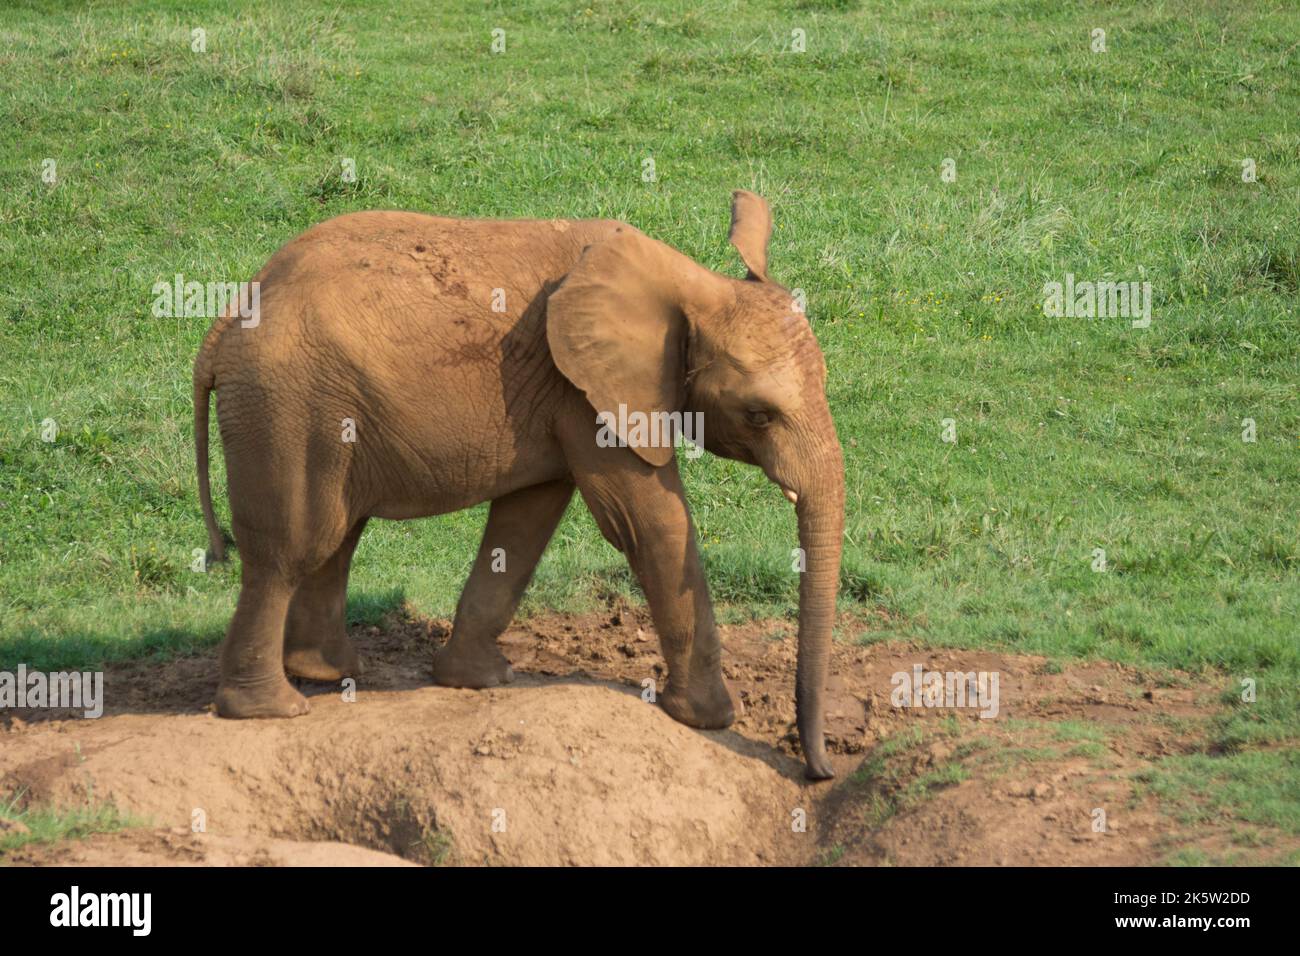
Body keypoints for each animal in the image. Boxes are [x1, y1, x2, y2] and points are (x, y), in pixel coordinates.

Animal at [189, 191, 842, 780]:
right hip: (288, 409)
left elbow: (527, 522)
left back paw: (330, 675)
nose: (820, 769)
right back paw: (271, 708)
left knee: (338, 535)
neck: (689, 284)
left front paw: (482, 680)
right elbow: (646, 521)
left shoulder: (556, 399)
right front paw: (710, 719)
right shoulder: (583, 391)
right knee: (291, 549)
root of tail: (225, 321)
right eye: (759, 415)